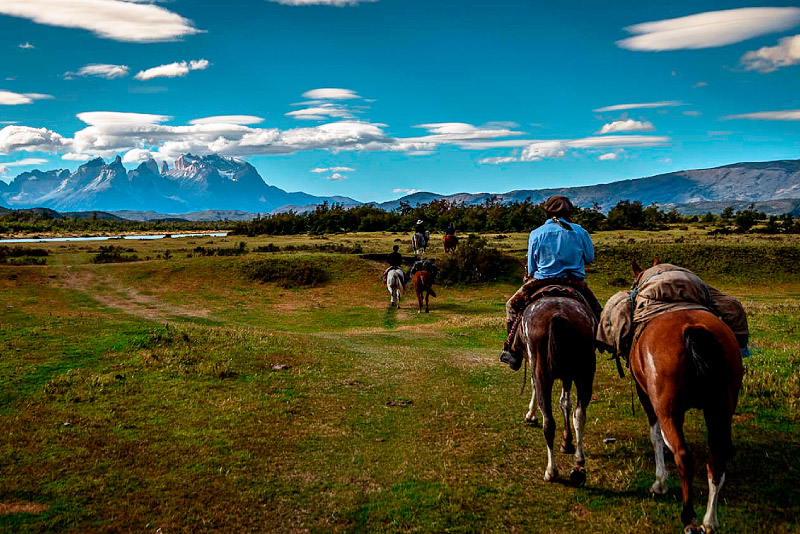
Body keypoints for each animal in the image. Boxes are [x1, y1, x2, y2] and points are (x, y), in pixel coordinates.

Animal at [510, 292, 596, 488]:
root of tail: (559, 315)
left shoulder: (533, 363)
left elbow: (534, 385)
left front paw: (530, 415)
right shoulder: (568, 376)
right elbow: (566, 403)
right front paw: (567, 443)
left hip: (542, 371)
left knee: (548, 422)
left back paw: (551, 471)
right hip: (585, 373)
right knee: (580, 414)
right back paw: (579, 465)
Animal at [632, 258, 744, 532]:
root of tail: (693, 329)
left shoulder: (647, 397)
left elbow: (655, 437)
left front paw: (660, 482)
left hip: (669, 411)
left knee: (683, 456)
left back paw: (689, 517)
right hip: (720, 409)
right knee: (716, 459)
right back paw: (710, 521)